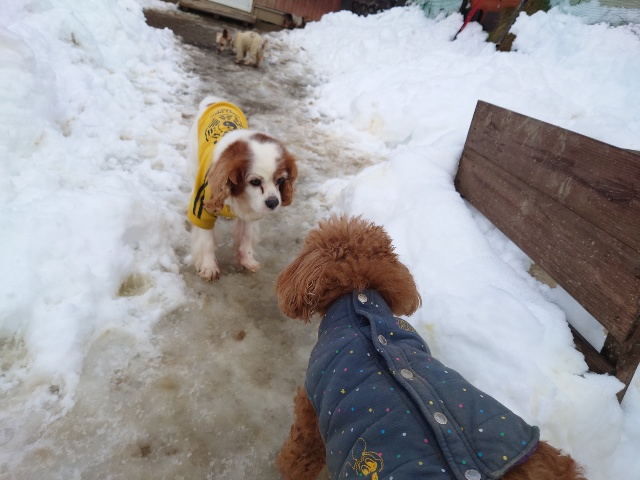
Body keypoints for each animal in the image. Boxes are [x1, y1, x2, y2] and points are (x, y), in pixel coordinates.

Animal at [187, 96, 297, 281]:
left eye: (280, 180)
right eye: (255, 182)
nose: (273, 202)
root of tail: (214, 100)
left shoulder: (252, 213)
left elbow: (246, 237)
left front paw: (247, 260)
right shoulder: (202, 210)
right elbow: (207, 241)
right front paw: (209, 267)